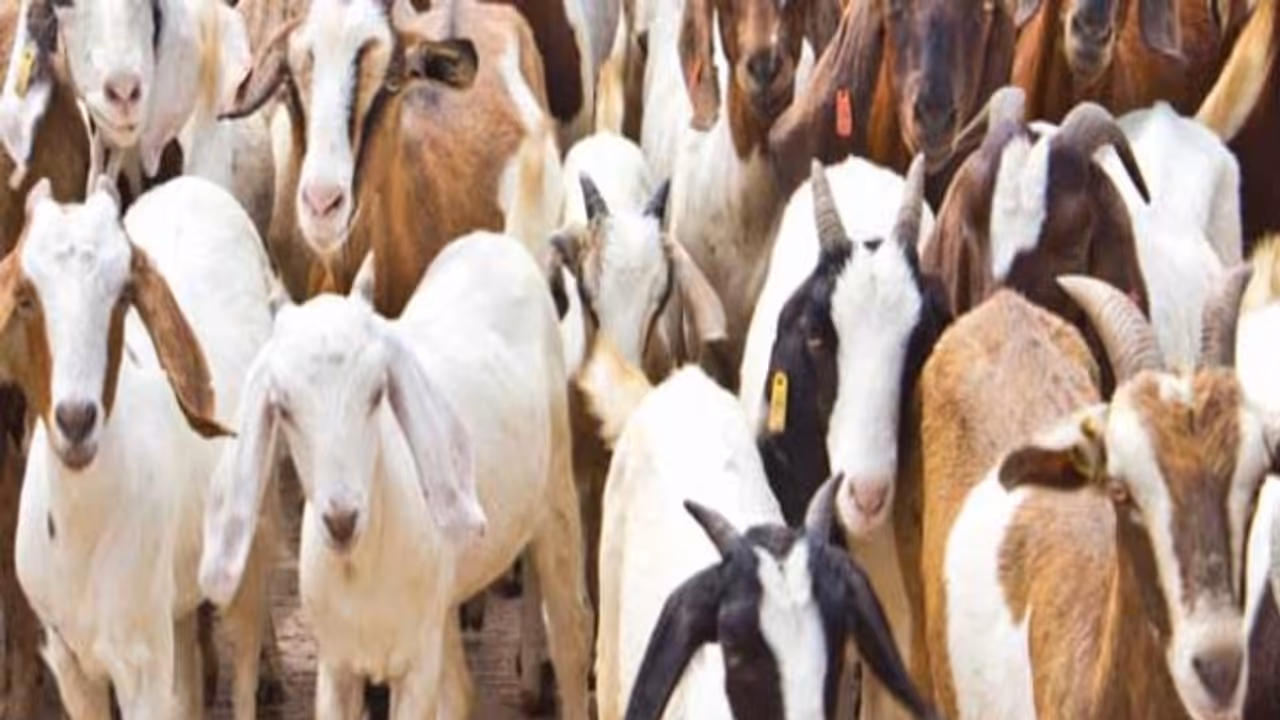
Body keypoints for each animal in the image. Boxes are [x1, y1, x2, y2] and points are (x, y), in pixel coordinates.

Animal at [7, 176, 276, 720]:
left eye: (122, 294)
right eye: (26, 297)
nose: (76, 419)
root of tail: (197, 184)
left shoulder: (141, 664)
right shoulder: (69, 660)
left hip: (246, 549)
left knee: (243, 669)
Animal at [201, 233, 593, 720]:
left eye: (377, 392)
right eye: (283, 406)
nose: (342, 519)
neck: (363, 568)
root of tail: (493, 240)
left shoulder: (414, 666)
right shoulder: (337, 663)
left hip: (556, 496)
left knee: (572, 636)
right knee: (461, 691)